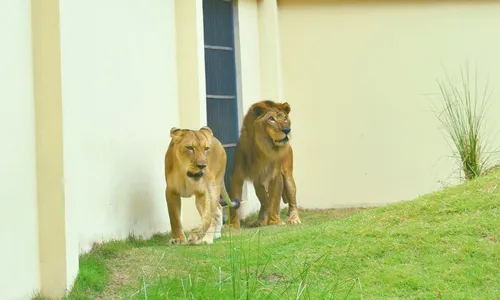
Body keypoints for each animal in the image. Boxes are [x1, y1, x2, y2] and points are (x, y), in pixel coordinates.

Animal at [227, 99, 300, 229]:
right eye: (271, 119)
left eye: (285, 118)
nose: (287, 130)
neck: (261, 150)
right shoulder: (236, 176)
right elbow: (234, 202)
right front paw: (233, 225)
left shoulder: (276, 176)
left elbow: (275, 201)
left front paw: (275, 221)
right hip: (258, 183)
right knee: (265, 202)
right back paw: (260, 221)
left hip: (288, 176)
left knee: (292, 200)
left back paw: (294, 219)